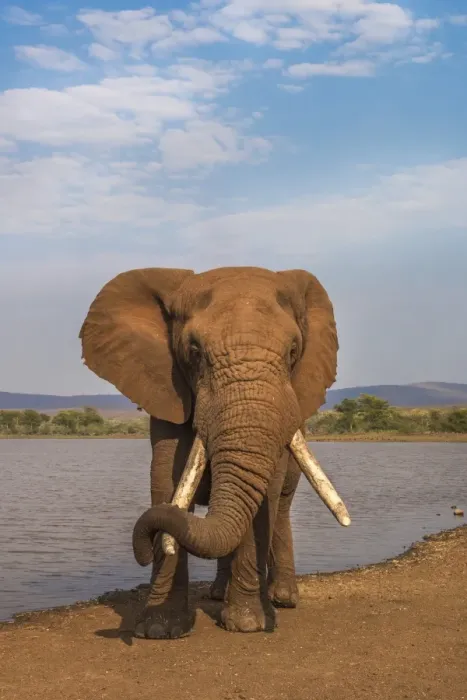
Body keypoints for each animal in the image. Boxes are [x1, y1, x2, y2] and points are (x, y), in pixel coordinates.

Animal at [79, 266, 350, 639]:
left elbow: (263, 495)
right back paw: (219, 594)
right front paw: (159, 629)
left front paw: (248, 624)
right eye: (194, 351)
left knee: (281, 507)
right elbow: (167, 482)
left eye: (293, 351)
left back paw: (282, 598)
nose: (144, 549)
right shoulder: (169, 393)